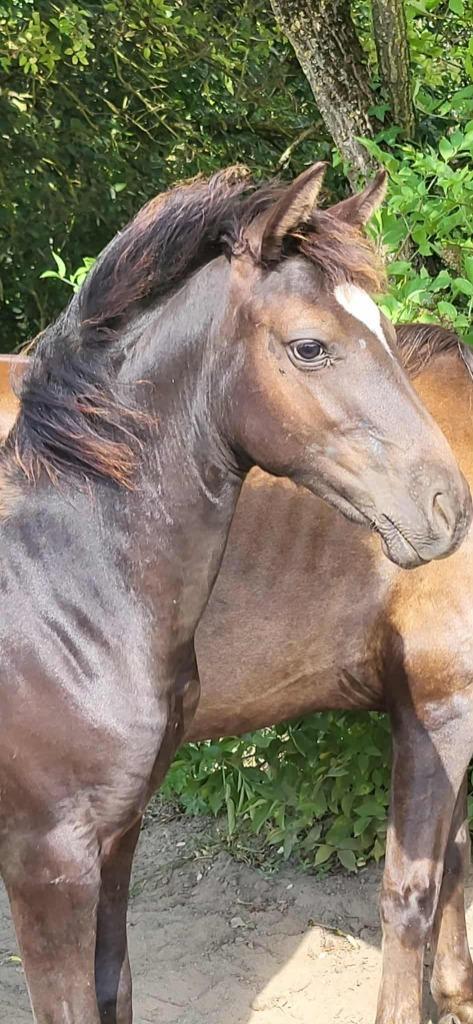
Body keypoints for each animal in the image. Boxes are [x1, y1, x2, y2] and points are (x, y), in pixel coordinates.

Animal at [0, 163, 469, 1024]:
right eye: (309, 345)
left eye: (387, 336)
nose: (445, 507)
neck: (57, 591)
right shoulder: (46, 859)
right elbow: (414, 888)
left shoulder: (117, 835)